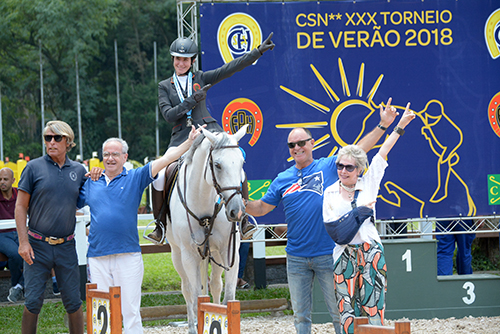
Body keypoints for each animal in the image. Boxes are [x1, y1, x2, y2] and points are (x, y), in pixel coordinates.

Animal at [166, 125, 248, 334]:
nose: (237, 211)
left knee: (216, 285)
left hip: (215, 253)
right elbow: (195, 295)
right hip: (177, 255)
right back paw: (192, 325)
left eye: (242, 163)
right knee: (187, 289)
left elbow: (228, 296)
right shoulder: (189, 255)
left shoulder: (229, 251)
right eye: (217, 165)